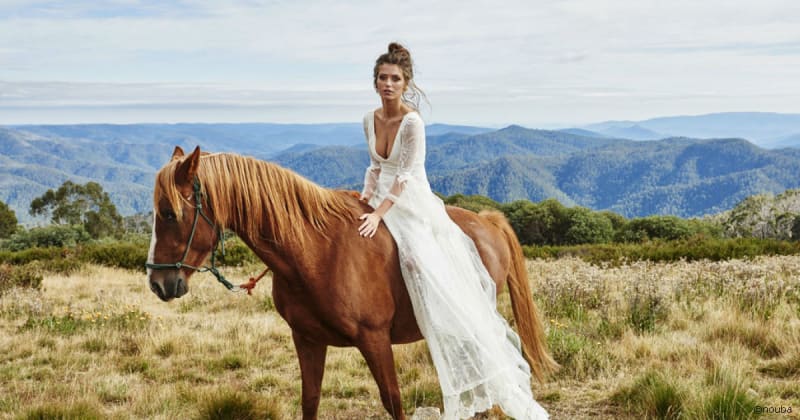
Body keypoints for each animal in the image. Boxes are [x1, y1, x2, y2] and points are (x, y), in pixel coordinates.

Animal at [147, 146, 552, 418]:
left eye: (169, 213)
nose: (157, 282)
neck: (317, 251)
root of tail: (487, 222)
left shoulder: (374, 340)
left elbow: (393, 401)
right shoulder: (307, 340)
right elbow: (310, 400)